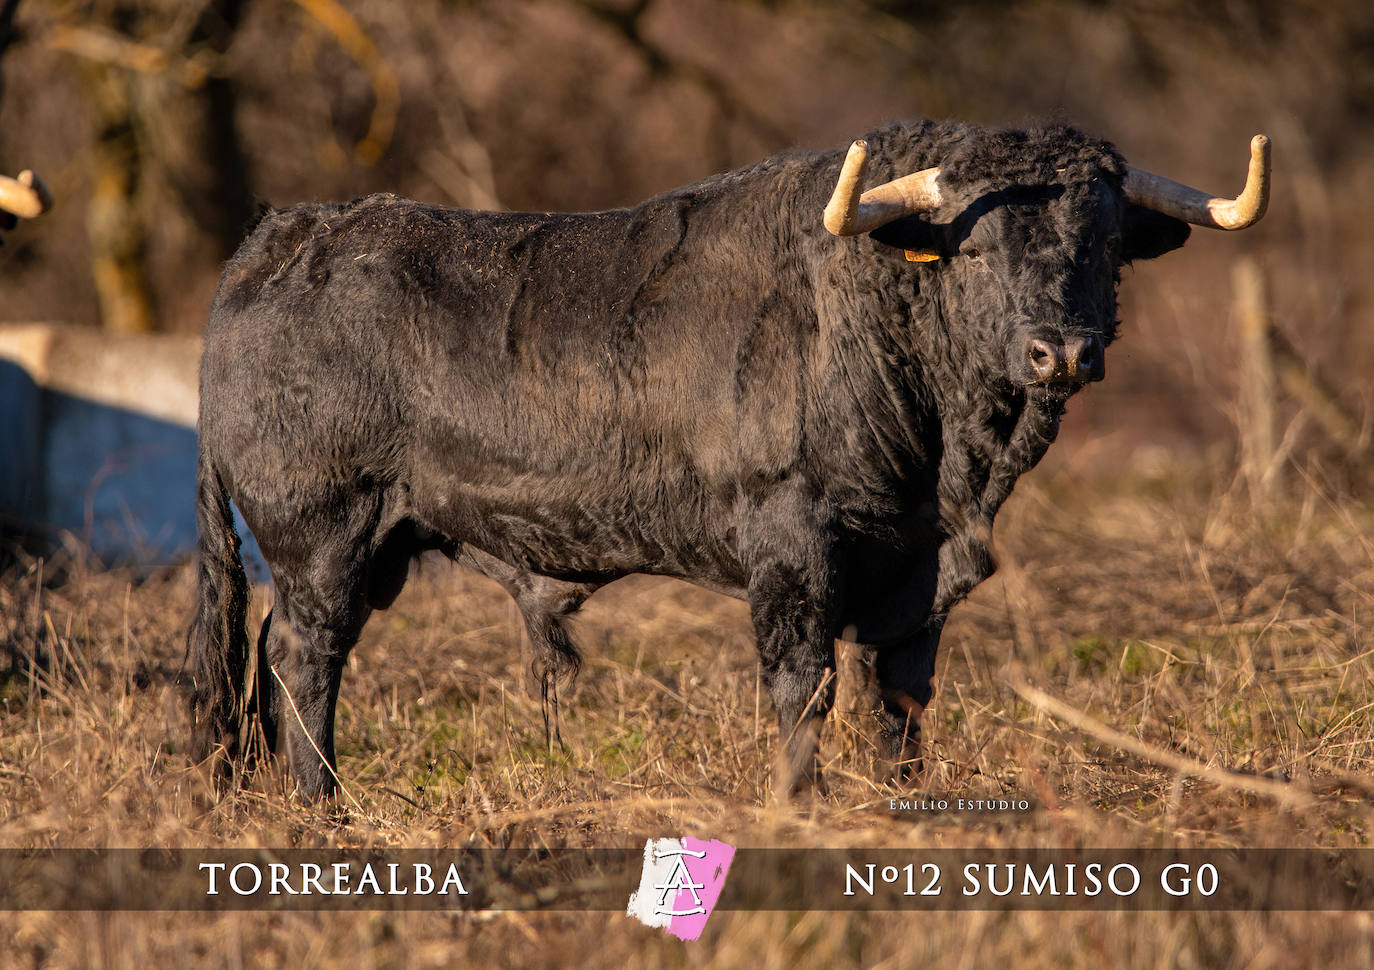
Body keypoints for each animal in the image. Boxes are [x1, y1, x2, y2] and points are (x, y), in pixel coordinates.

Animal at [188, 118, 1269, 791]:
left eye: (1103, 243)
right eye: (974, 248)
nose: (1063, 350)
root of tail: (285, 235)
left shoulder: (915, 571)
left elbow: (900, 696)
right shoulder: (792, 541)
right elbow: (804, 685)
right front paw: (802, 804)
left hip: (361, 548)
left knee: (272, 656)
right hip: (322, 535)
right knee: (304, 657)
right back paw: (324, 805)